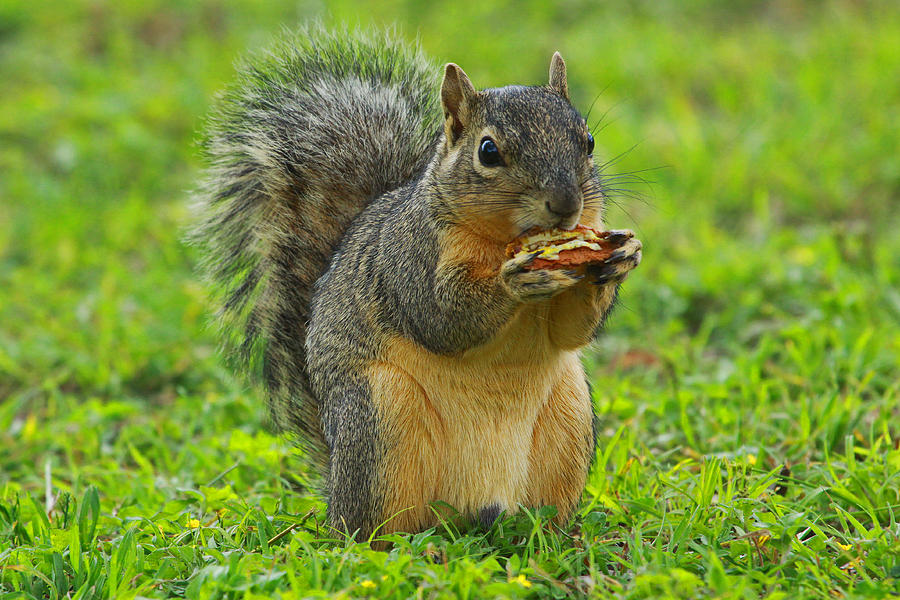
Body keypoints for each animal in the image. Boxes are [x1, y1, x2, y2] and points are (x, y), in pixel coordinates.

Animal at [192, 27, 640, 544]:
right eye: (488, 152)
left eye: (588, 141)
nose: (566, 205)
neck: (504, 240)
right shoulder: (409, 260)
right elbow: (442, 320)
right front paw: (515, 279)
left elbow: (570, 332)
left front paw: (621, 257)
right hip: (381, 421)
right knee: (371, 526)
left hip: (569, 422)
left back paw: (555, 536)